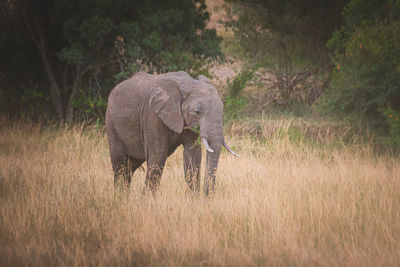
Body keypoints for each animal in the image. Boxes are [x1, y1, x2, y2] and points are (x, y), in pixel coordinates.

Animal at [104, 71, 239, 197]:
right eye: (197, 112)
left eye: (222, 109)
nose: (207, 197)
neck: (188, 84)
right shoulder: (153, 115)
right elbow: (158, 154)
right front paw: (147, 201)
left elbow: (193, 154)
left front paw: (194, 200)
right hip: (111, 122)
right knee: (120, 165)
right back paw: (120, 198)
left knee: (130, 168)